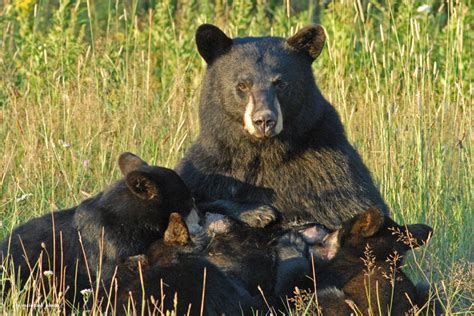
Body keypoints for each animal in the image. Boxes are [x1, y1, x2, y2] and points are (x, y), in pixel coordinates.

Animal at [178, 22, 388, 230]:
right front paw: (258, 212)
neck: (262, 153)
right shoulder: (213, 164)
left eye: (280, 83)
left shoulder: (331, 167)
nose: (264, 120)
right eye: (242, 85)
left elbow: (356, 206)